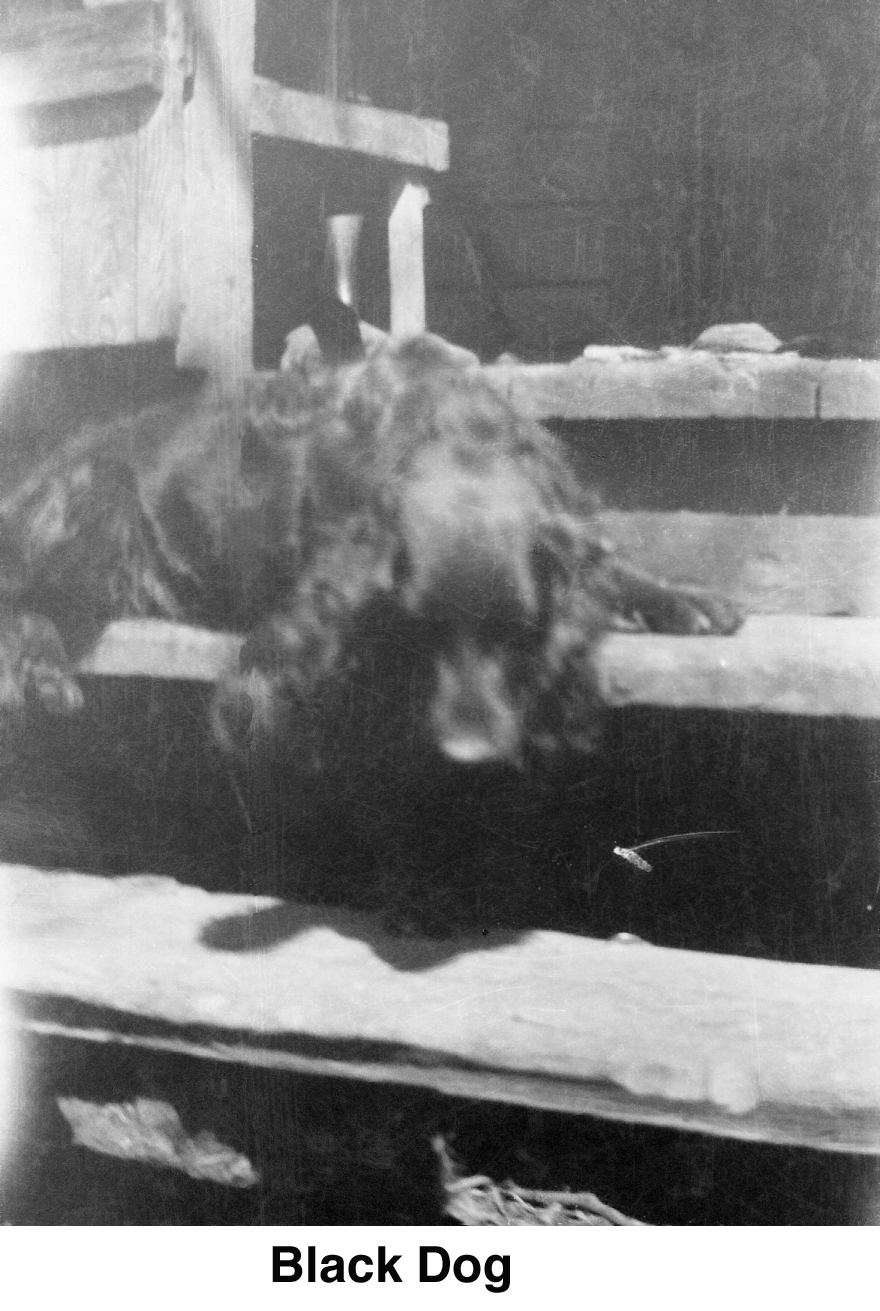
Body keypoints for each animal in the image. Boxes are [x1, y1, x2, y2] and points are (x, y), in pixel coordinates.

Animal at [0, 335, 744, 933]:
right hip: (97, 513)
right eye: (419, 630)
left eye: (516, 631)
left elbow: (612, 568)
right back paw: (44, 674)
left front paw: (684, 600)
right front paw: (422, 889)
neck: (454, 438)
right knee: (22, 604)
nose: (469, 756)